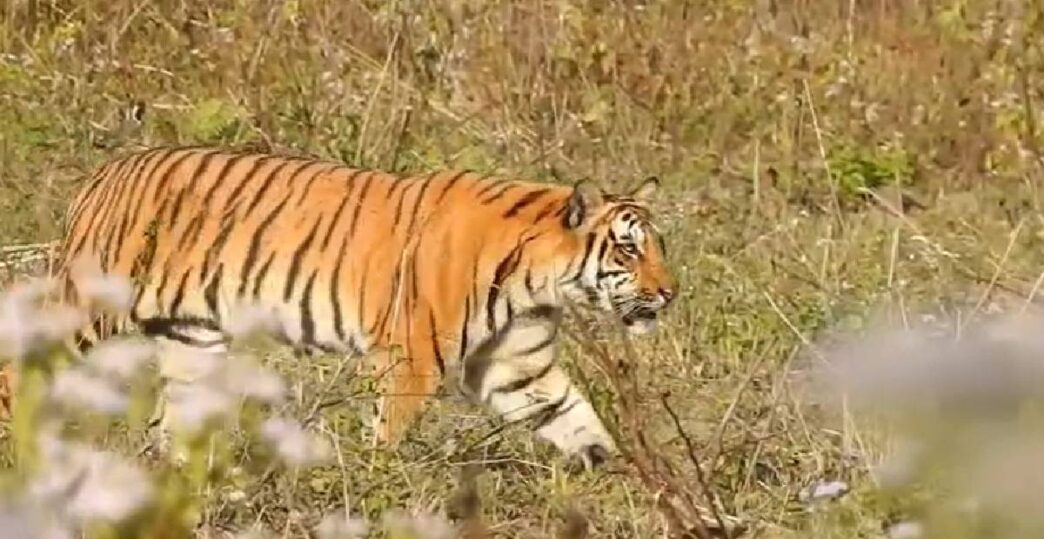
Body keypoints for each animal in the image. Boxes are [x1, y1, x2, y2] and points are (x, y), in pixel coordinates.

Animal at [37, 145, 677, 468]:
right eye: (628, 248)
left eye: (658, 247)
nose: (669, 293)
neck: (540, 283)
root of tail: (103, 174)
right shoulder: (411, 359)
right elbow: (387, 436)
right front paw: (380, 490)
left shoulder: (517, 367)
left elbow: (577, 420)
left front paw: (631, 479)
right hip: (87, 314)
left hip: (192, 339)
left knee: (173, 422)